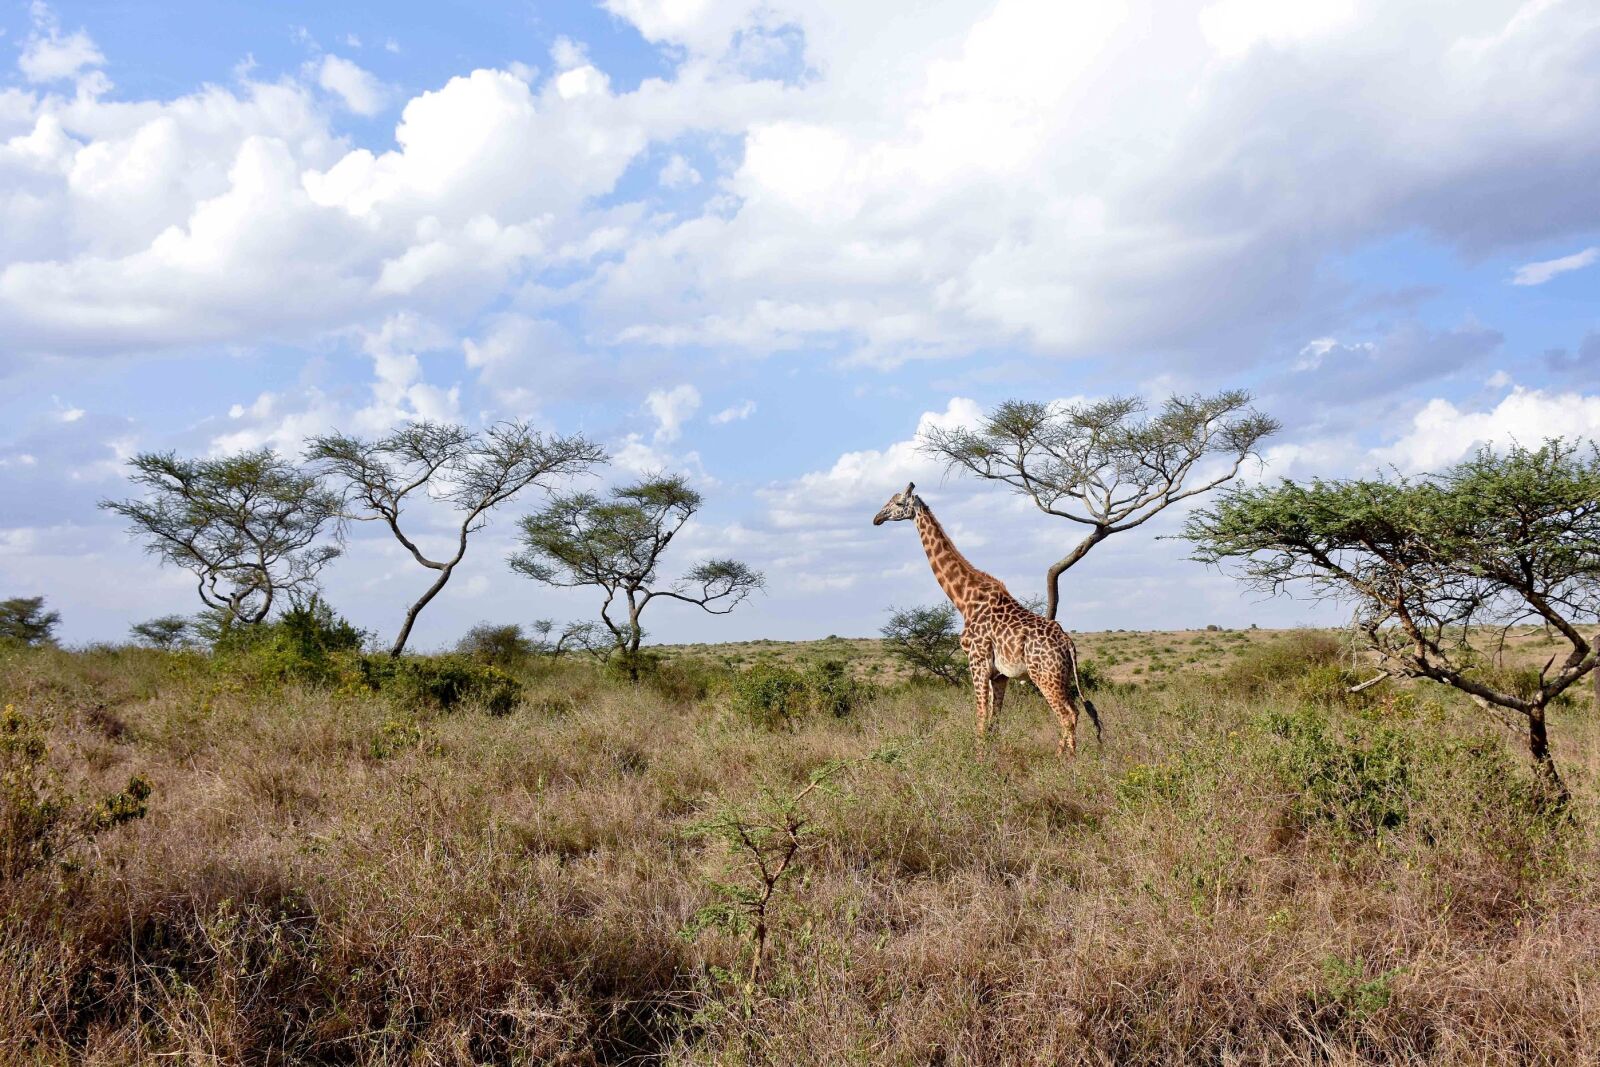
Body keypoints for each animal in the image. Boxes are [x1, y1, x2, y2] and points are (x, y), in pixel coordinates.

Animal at [873, 482, 1102, 756]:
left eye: (898, 503)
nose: (877, 518)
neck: (964, 599)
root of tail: (1068, 644)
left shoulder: (977, 661)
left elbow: (981, 719)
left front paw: (979, 761)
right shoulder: (999, 674)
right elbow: (994, 722)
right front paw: (990, 757)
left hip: (1044, 675)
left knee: (1067, 715)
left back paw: (1062, 761)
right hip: (1062, 675)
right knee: (1075, 711)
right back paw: (1070, 757)